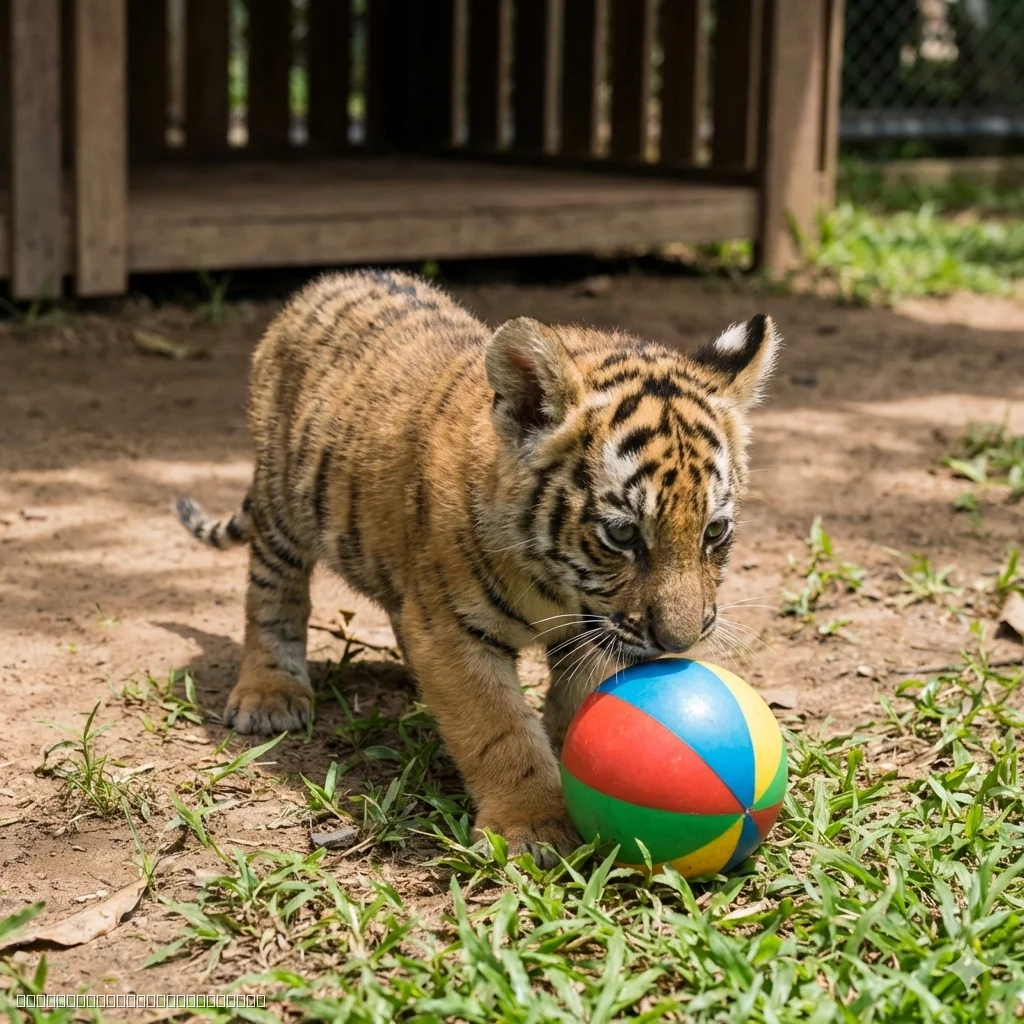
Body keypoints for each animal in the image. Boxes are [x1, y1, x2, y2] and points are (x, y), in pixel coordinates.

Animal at [176, 268, 780, 865]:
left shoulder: (591, 627)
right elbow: (497, 728)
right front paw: (534, 825)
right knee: (272, 588)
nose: (680, 642)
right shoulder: (451, 629)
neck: (556, 586)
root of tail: (330, 281)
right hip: (284, 502)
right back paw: (271, 694)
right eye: (623, 533)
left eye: (714, 532)